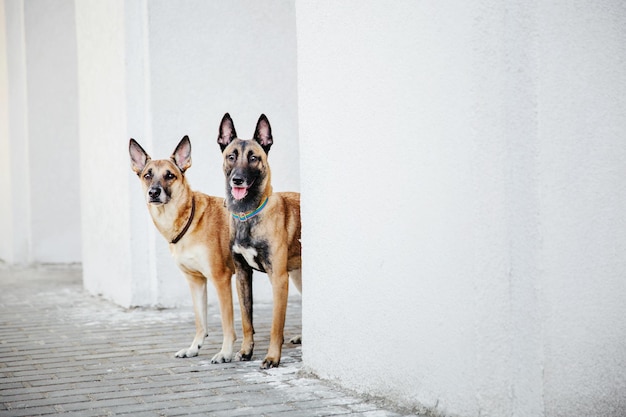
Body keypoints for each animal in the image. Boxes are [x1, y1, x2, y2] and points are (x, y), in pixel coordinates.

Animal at [128, 136, 235, 360]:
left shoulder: (221, 279)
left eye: (170, 175)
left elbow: (226, 322)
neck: (188, 219)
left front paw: (226, 352)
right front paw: (194, 347)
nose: (153, 192)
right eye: (147, 175)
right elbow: (200, 320)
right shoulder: (196, 281)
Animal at [216, 114, 302, 368]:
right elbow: (247, 320)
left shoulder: (279, 279)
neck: (248, 214)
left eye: (254, 158)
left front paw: (272, 357)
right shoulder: (243, 275)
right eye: (231, 156)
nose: (238, 180)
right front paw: (246, 351)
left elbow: (276, 325)